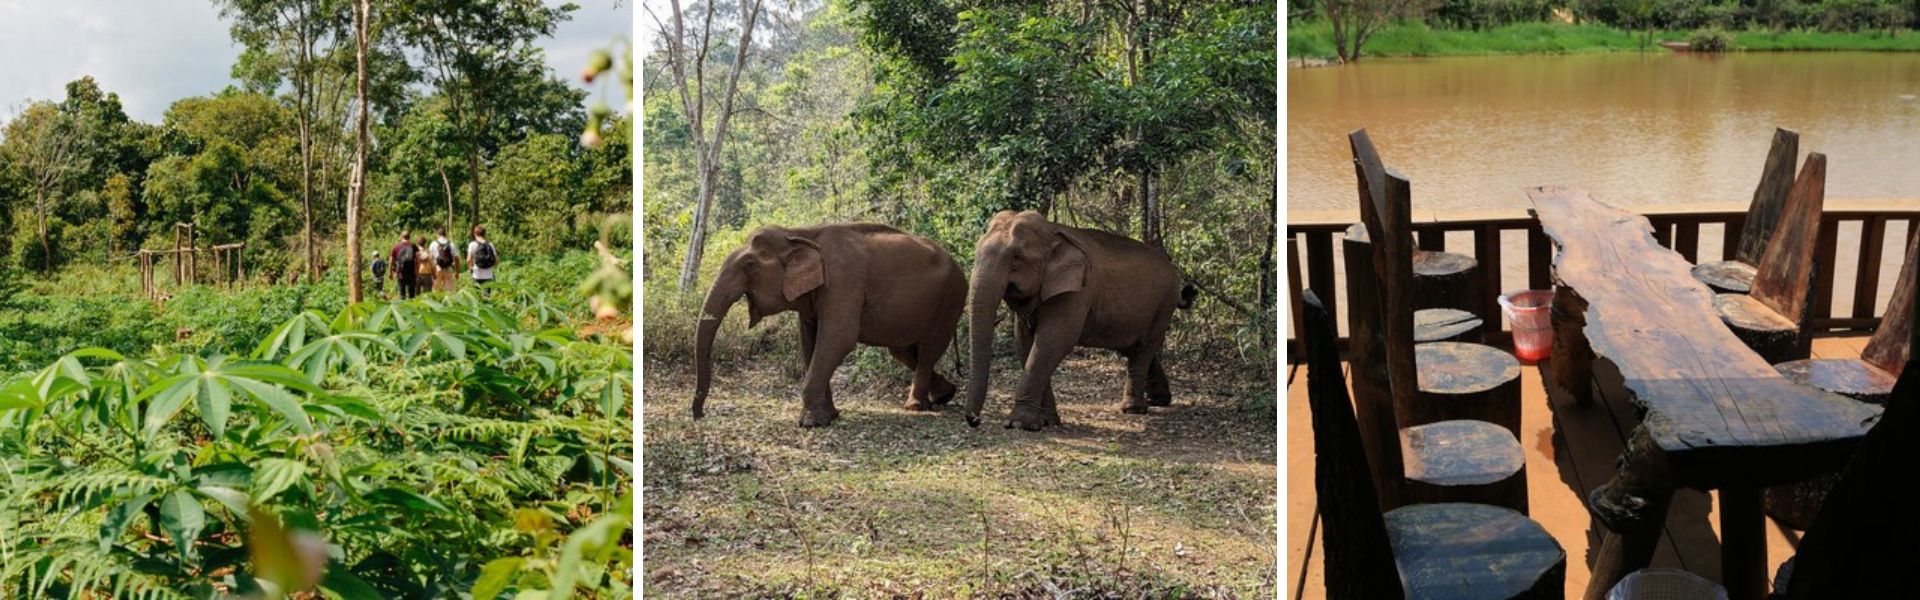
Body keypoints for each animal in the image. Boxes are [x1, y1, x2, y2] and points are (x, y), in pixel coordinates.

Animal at [691, 224, 967, 426]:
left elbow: (838, 338)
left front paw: (811, 423)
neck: (801, 233)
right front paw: (830, 416)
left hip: (951, 300)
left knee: (930, 347)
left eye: (749, 265)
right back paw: (944, 395)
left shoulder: (843, 282)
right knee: (904, 351)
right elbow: (810, 342)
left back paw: (915, 407)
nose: (700, 415)